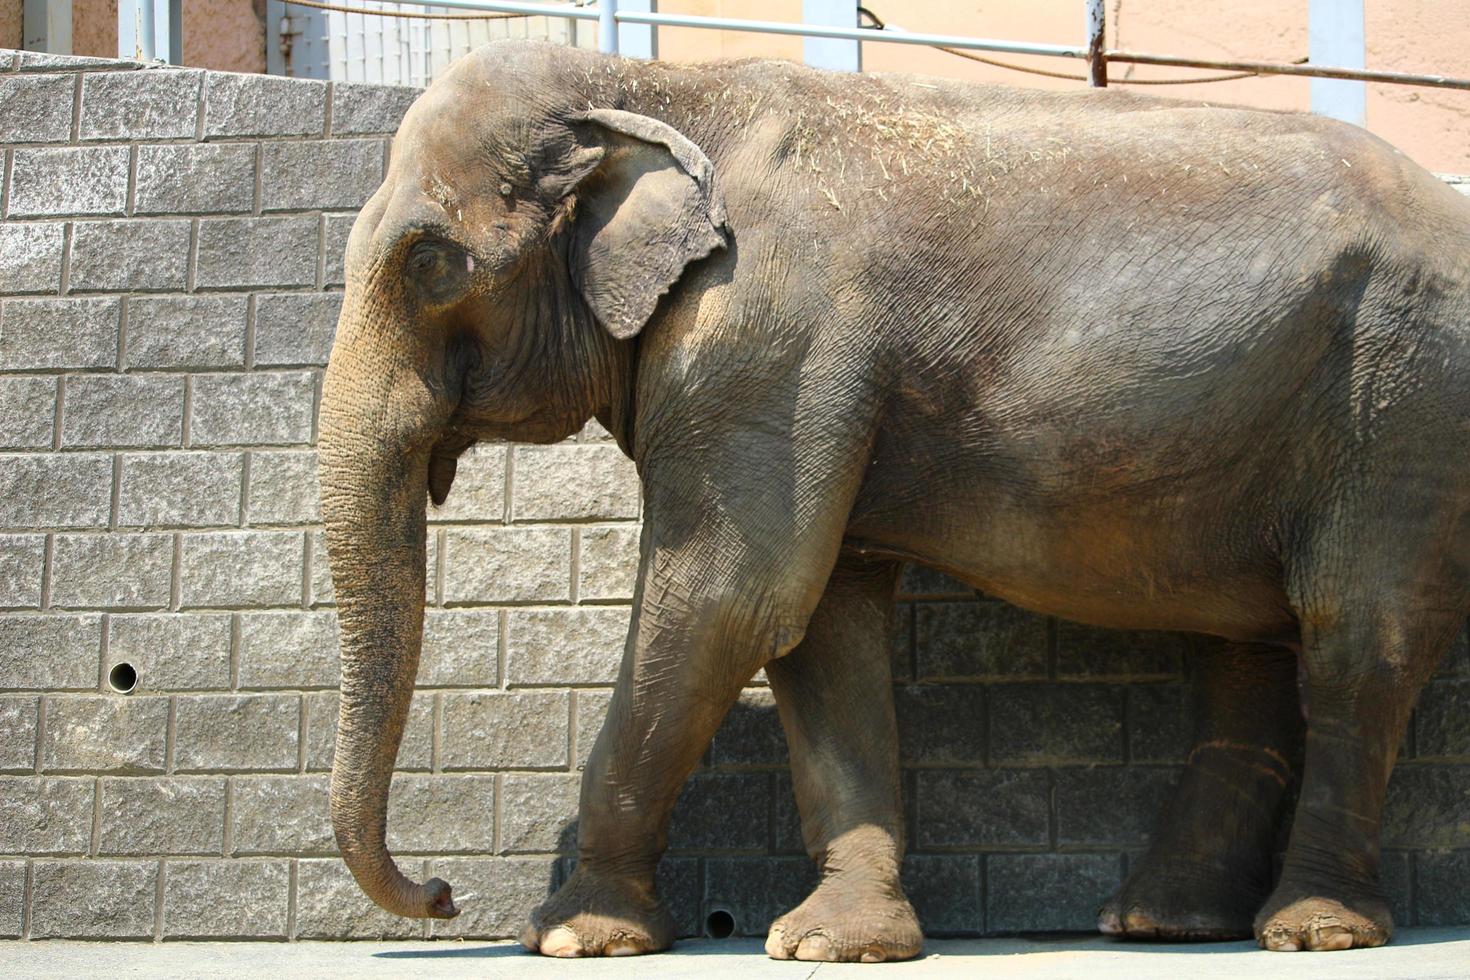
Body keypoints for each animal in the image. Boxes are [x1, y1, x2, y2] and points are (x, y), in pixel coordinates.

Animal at [321, 42, 1470, 963]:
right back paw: (1161, 923)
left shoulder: (769, 332)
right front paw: (837, 944)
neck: (657, 84)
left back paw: (1312, 930)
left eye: (430, 263)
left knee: (1355, 639)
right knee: (1249, 645)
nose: (441, 892)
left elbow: (731, 597)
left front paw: (573, 936)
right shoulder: (797, 371)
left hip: (1401, 397)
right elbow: (821, 619)